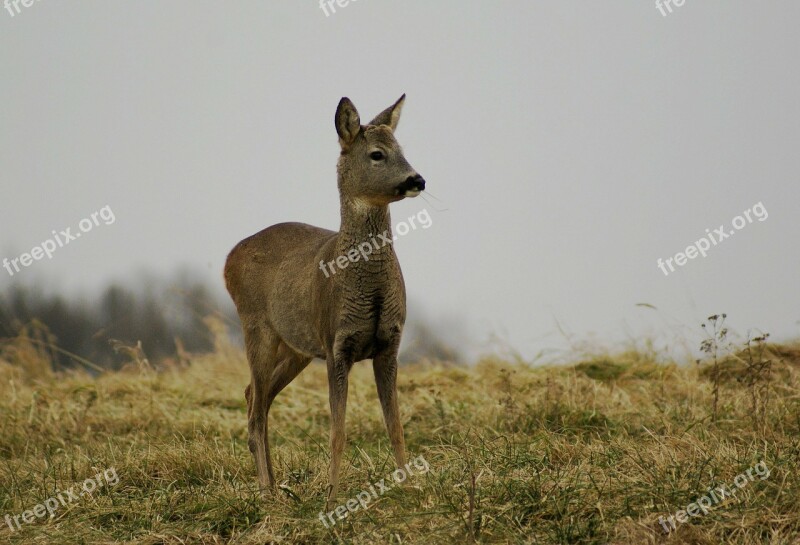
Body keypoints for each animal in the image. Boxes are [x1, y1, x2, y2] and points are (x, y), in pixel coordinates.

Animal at [222, 93, 428, 506]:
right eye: (377, 154)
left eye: (402, 149)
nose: (418, 179)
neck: (369, 289)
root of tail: (228, 260)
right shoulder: (337, 344)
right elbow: (337, 431)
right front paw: (333, 497)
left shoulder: (390, 344)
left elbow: (396, 426)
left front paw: (411, 487)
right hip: (255, 325)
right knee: (256, 408)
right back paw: (266, 491)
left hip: (297, 347)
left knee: (256, 395)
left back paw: (276, 485)